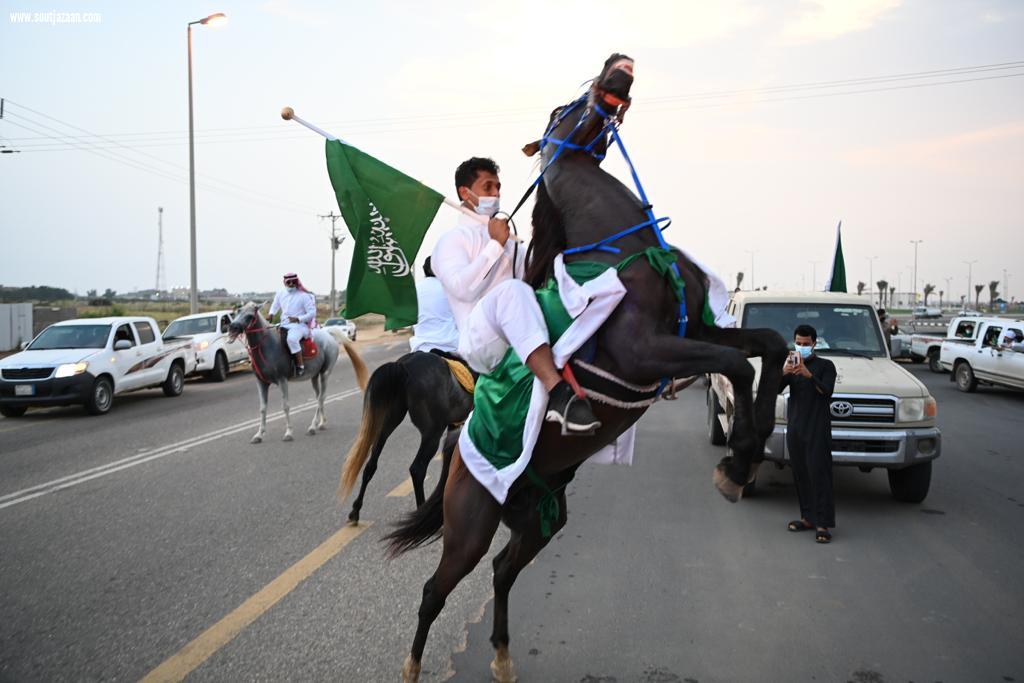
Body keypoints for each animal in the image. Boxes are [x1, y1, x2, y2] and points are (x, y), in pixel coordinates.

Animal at [228, 301, 368, 440]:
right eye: (237, 312)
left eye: (250, 316)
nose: (232, 327)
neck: (267, 346)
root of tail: (328, 334)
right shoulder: (261, 382)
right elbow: (262, 408)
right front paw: (259, 434)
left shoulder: (282, 380)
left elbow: (286, 406)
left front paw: (288, 432)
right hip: (314, 376)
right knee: (319, 397)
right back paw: (321, 423)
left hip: (325, 373)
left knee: (321, 397)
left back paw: (312, 426)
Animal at [385, 54, 782, 683]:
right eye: (560, 109)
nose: (617, 65)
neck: (623, 250)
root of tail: (457, 448)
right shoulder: (645, 350)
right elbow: (737, 367)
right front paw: (737, 462)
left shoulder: (697, 330)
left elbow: (767, 344)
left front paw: (748, 455)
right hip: (469, 524)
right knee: (434, 590)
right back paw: (413, 665)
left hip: (541, 519)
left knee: (501, 570)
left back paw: (502, 657)